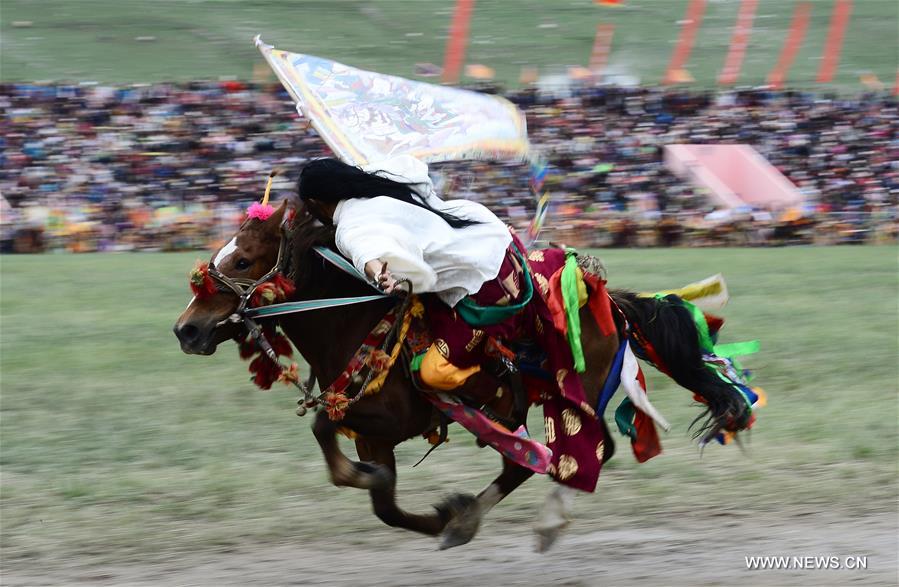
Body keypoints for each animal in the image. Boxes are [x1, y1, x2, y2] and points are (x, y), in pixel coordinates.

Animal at [174, 202, 752, 552]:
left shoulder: (391, 419)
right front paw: (426, 511)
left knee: (580, 454)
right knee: (531, 462)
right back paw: (467, 519)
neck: (353, 317)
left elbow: (333, 442)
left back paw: (533, 521)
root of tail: (608, 298)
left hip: (575, 391)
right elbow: (381, 501)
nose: (186, 330)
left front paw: (429, 506)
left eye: (244, 261)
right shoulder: (371, 432)